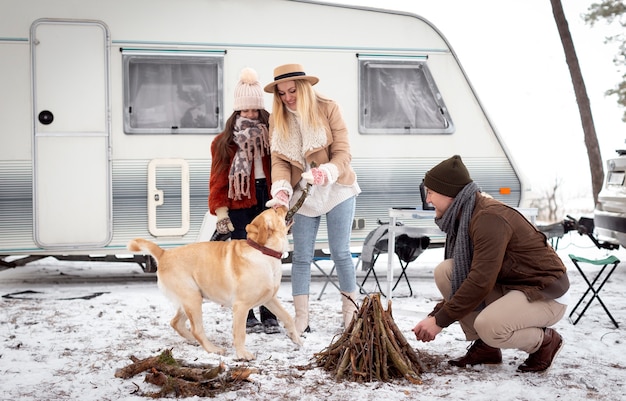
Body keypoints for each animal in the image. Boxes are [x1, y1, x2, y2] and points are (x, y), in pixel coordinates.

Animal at [127, 206, 300, 360]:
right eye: (276, 210)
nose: (284, 204)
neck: (263, 251)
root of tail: (164, 254)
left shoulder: (269, 299)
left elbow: (287, 317)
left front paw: (297, 338)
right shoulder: (241, 306)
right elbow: (240, 333)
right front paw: (242, 354)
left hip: (190, 300)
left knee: (176, 323)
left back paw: (193, 340)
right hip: (192, 299)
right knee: (196, 329)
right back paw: (213, 349)